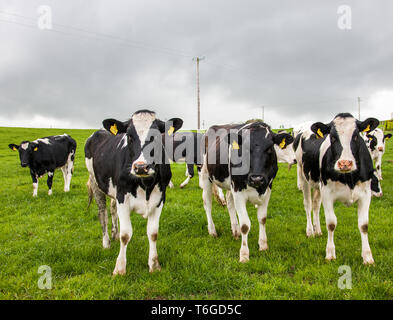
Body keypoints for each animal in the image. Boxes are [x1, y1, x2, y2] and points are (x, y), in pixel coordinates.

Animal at [84, 110, 182, 276]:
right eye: (129, 136)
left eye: (156, 136)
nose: (141, 167)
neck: (146, 184)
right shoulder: (122, 197)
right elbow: (126, 235)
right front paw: (119, 269)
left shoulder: (159, 199)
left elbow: (153, 233)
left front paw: (154, 265)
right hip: (95, 181)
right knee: (102, 213)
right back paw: (106, 242)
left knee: (112, 209)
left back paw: (114, 234)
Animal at [199, 121, 294, 262]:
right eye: (244, 149)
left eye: (270, 148)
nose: (256, 178)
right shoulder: (238, 190)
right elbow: (245, 225)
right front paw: (244, 254)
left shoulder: (267, 189)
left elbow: (262, 219)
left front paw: (263, 245)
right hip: (205, 174)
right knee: (207, 204)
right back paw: (212, 231)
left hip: (230, 184)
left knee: (229, 202)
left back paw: (235, 230)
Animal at [296, 113, 378, 264]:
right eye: (333, 137)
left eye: (356, 136)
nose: (344, 163)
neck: (349, 178)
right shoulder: (327, 193)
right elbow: (331, 223)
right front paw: (330, 253)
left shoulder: (365, 194)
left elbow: (364, 225)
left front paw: (368, 257)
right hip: (303, 175)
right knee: (308, 205)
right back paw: (310, 231)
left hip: (318, 185)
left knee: (316, 205)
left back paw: (318, 230)